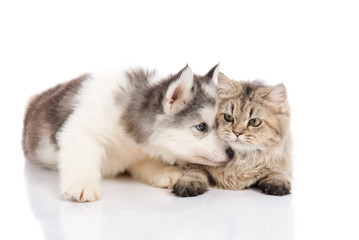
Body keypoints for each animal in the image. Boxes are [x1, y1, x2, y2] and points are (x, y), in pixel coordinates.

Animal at [22, 64, 232, 202]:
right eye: (202, 127)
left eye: (223, 122)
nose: (231, 153)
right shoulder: (80, 130)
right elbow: (82, 158)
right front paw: (82, 183)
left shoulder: (138, 151)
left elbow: (147, 163)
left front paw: (165, 171)